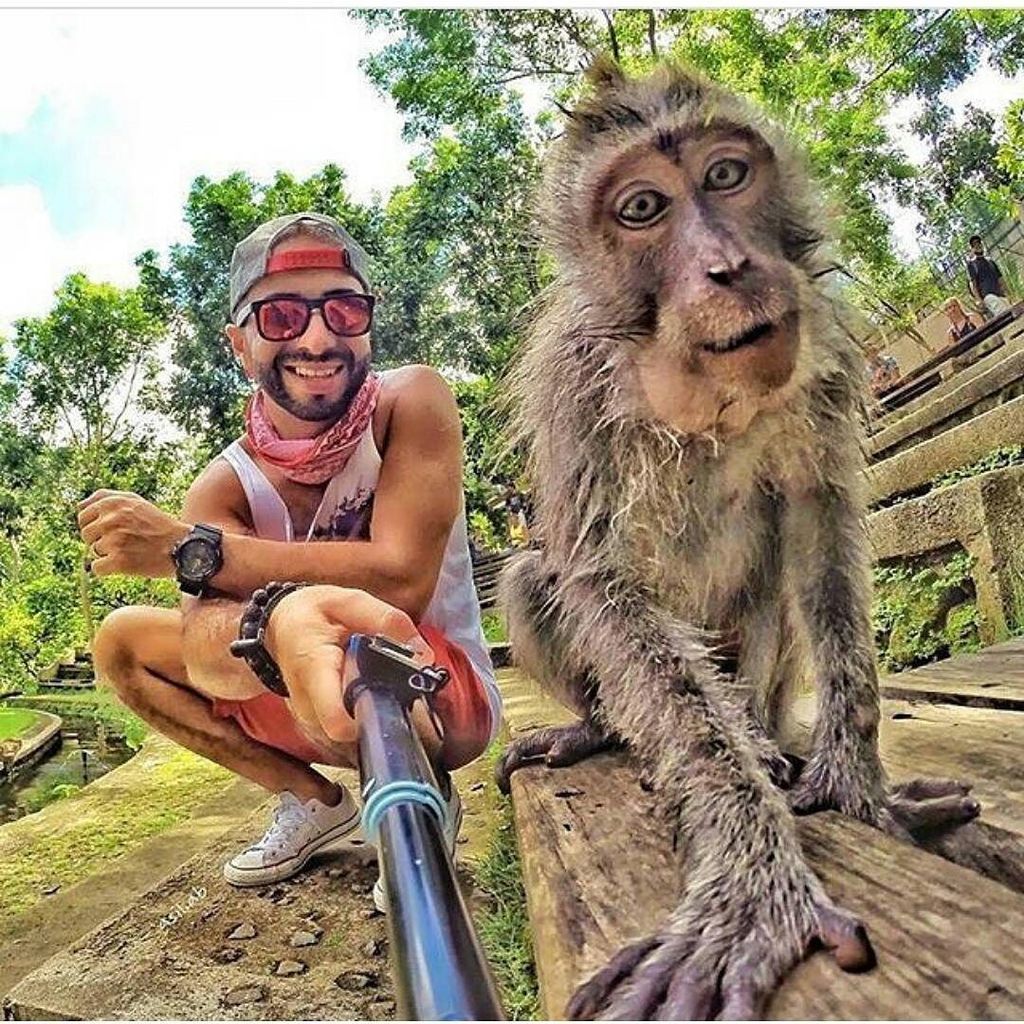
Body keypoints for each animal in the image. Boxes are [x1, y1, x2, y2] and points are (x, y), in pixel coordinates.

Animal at [495, 60, 981, 1021]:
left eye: (726, 175)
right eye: (643, 208)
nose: (728, 266)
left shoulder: (820, 338)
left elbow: (817, 514)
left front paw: (853, 778)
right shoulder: (572, 379)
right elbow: (600, 579)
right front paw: (752, 860)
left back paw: (765, 737)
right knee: (535, 576)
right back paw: (600, 733)